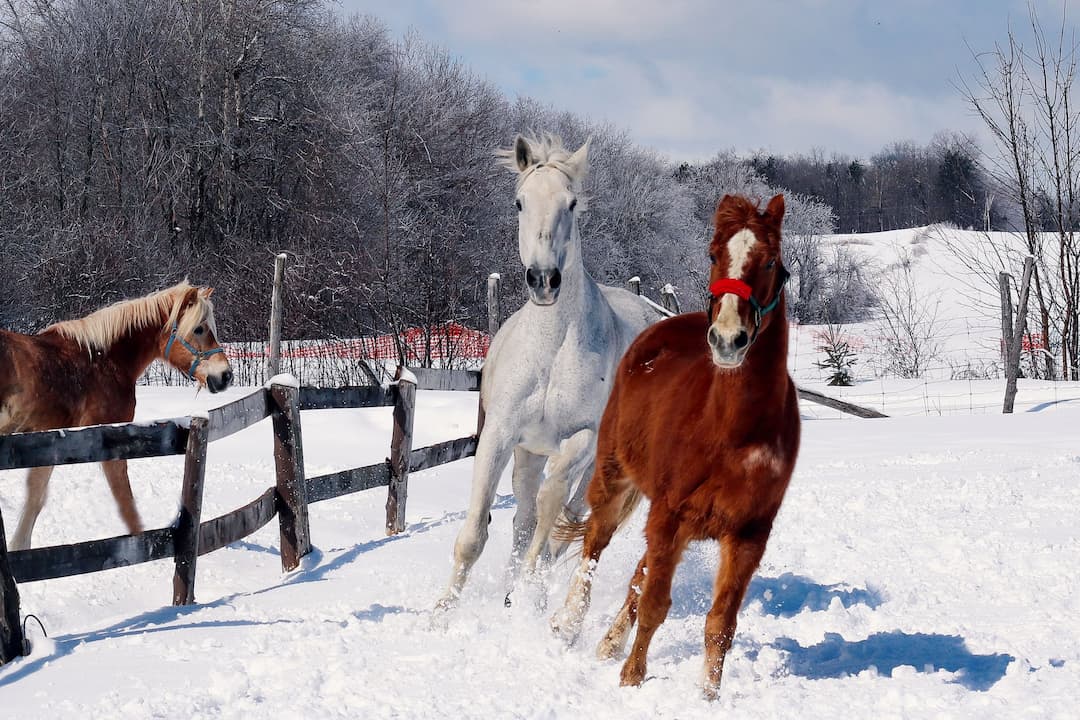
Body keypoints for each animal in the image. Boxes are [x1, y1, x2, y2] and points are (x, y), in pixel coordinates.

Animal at [434, 132, 652, 613]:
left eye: (571, 203)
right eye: (520, 202)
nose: (543, 280)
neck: (552, 351)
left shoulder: (584, 440)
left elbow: (553, 512)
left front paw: (528, 589)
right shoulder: (499, 435)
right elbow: (474, 536)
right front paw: (436, 618)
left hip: (598, 466)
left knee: (565, 520)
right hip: (528, 453)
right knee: (525, 518)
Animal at [552, 194, 799, 699]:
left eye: (771, 262)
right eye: (712, 254)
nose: (727, 340)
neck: (730, 429)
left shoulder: (748, 534)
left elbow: (720, 623)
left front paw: (708, 696)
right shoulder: (668, 516)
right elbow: (654, 605)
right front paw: (631, 679)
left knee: (636, 575)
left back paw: (607, 644)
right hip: (615, 482)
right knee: (593, 548)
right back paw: (569, 625)